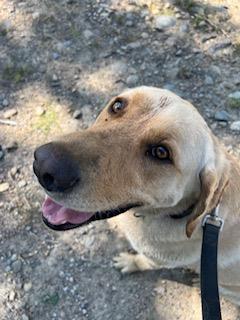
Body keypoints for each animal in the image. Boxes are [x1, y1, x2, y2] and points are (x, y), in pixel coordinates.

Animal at [32, 87, 240, 304]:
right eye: (117, 105)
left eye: (161, 152)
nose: (43, 165)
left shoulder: (156, 260)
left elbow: (141, 261)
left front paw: (128, 262)